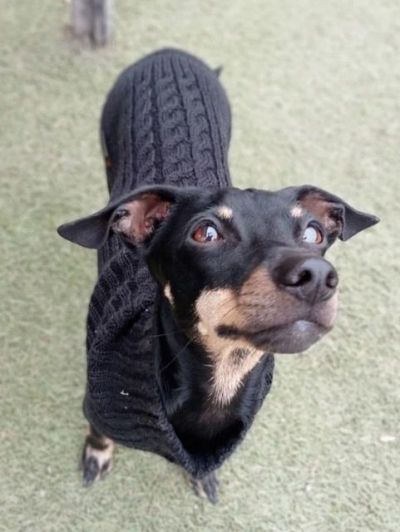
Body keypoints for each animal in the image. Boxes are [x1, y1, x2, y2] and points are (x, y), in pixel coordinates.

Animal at [58, 49, 379, 503]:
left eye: (314, 233)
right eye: (205, 232)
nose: (317, 276)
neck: (220, 381)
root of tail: (168, 53)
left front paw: (203, 477)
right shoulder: (98, 404)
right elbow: (99, 433)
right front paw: (97, 456)